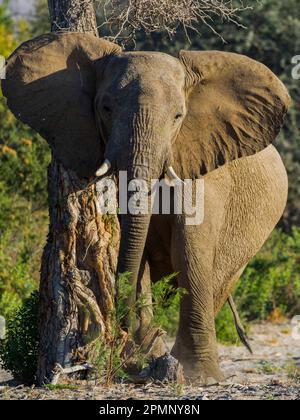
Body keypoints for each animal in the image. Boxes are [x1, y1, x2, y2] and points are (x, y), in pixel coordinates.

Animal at [2, 32, 292, 386]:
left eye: (179, 117)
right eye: (106, 108)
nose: (125, 332)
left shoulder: (199, 168)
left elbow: (189, 251)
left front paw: (196, 377)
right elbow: (133, 250)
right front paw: (141, 358)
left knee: (218, 279)